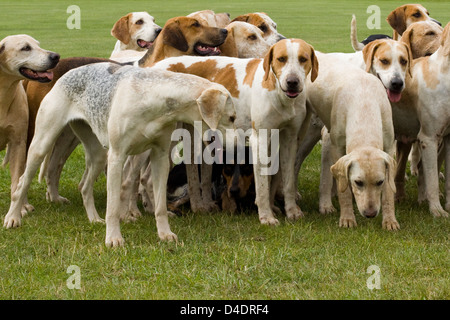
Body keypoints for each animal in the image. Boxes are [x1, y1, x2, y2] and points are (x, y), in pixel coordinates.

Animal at [0, 35, 59, 214]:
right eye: (25, 48)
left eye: (38, 45)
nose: (55, 56)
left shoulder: (18, 143)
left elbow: (17, 179)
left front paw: (18, 210)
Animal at [152, 39, 320, 225]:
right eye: (281, 59)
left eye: (303, 59)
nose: (292, 81)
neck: (279, 93)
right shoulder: (259, 140)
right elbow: (262, 186)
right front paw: (266, 216)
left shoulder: (290, 140)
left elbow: (288, 181)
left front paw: (291, 211)